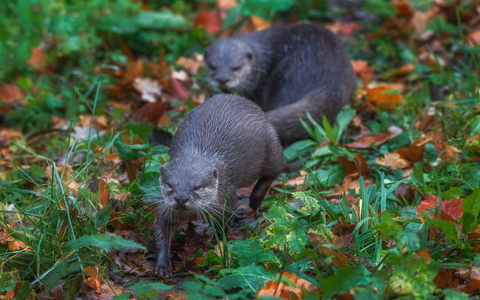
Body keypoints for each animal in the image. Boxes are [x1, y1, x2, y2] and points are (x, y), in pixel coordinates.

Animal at [154, 94, 284, 276]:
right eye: (170, 185)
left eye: (197, 187)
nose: (181, 198)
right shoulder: (164, 209)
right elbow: (161, 232)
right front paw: (163, 265)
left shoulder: (226, 201)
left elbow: (222, 229)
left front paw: (215, 248)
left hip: (272, 148)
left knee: (275, 170)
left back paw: (254, 201)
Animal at [204, 23, 358, 145]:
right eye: (212, 67)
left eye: (236, 68)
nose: (222, 79)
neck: (260, 61)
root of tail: (330, 83)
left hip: (286, 79)